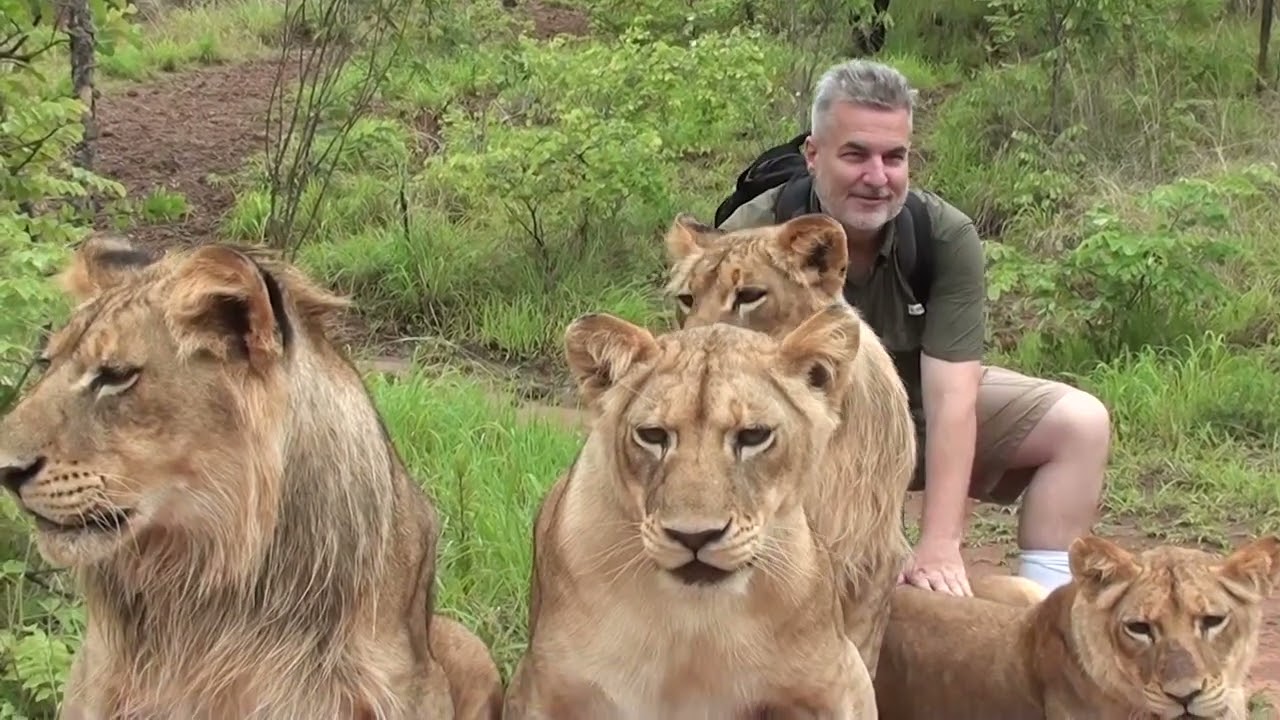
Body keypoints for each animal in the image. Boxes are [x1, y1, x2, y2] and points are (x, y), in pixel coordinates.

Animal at [502, 306, 879, 719]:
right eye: (652, 435)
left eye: (754, 435)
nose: (694, 536)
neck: (694, 622)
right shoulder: (543, 690)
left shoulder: (835, 684)